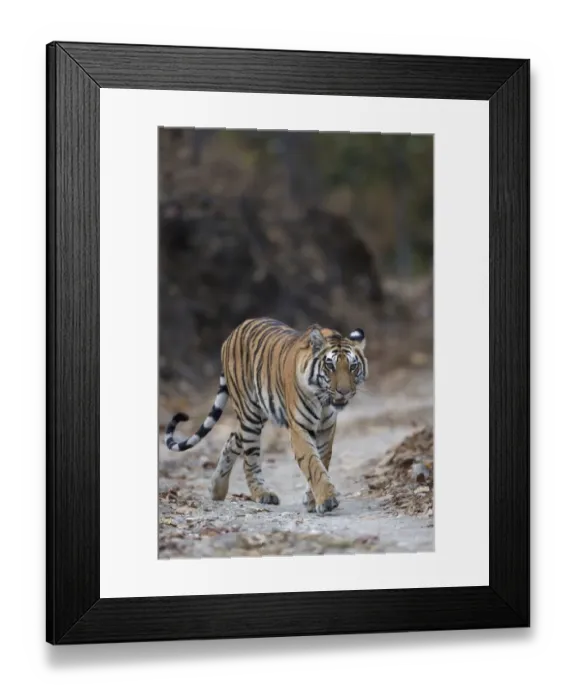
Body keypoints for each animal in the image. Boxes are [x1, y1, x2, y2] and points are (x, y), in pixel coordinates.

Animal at [164, 317, 368, 515]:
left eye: (353, 366)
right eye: (330, 365)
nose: (344, 391)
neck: (323, 401)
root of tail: (233, 332)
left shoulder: (326, 428)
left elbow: (323, 460)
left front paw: (312, 499)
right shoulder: (300, 428)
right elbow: (313, 464)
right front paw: (326, 499)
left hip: (258, 414)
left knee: (232, 439)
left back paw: (216, 489)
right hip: (250, 416)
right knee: (249, 459)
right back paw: (262, 493)